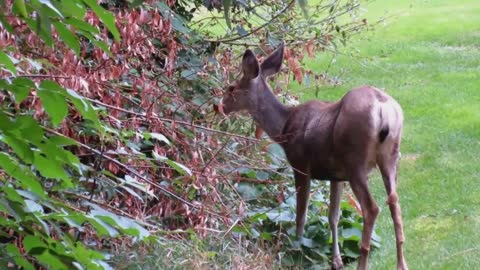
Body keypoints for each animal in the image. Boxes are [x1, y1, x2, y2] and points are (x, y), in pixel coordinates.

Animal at [218, 42, 408, 270]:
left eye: (232, 88)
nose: (219, 106)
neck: (283, 128)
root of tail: (383, 108)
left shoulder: (300, 165)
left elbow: (301, 214)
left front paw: (296, 250)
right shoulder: (337, 176)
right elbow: (333, 216)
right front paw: (336, 261)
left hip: (356, 160)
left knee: (372, 208)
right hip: (390, 156)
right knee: (395, 202)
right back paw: (402, 264)